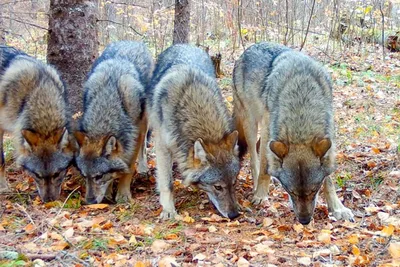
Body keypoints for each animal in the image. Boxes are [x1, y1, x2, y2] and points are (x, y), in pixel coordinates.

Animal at [73, 40, 153, 205]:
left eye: (98, 176)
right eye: (85, 176)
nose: (89, 201)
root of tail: (132, 41)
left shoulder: (133, 137)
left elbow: (128, 168)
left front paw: (123, 194)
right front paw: (109, 193)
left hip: (145, 121)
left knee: (144, 145)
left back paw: (143, 168)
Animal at [148, 43, 239, 220]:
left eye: (234, 183)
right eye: (218, 187)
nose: (234, 215)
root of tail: (184, 44)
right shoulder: (162, 144)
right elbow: (167, 183)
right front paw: (169, 210)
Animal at [233, 42, 354, 226]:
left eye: (314, 190)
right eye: (291, 191)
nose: (304, 220)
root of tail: (247, 50)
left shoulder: (328, 136)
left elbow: (329, 180)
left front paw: (338, 208)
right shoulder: (269, 129)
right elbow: (264, 167)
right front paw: (261, 195)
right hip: (251, 124)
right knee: (254, 156)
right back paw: (256, 185)